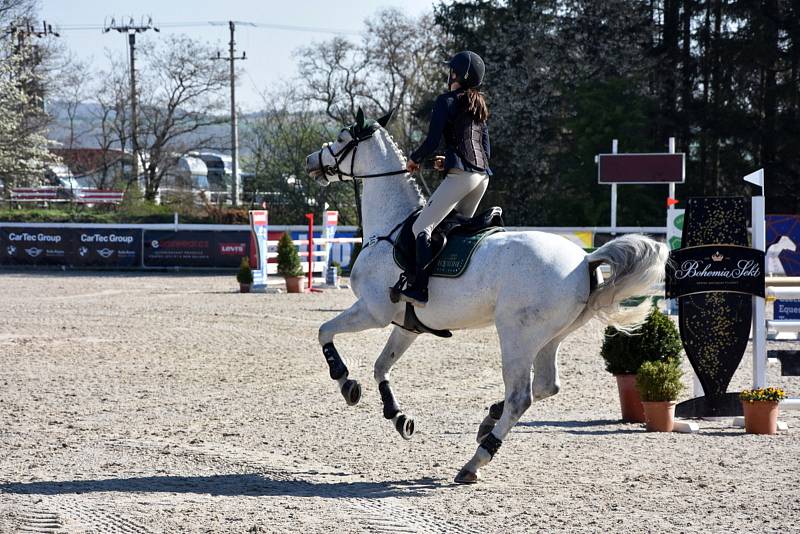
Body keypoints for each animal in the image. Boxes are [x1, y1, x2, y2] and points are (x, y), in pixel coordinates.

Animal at [304, 109, 664, 486]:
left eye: (342, 139)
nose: (312, 161)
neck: (391, 229)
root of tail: (584, 260)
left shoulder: (372, 312)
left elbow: (325, 332)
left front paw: (345, 381)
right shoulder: (407, 325)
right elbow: (380, 366)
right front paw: (398, 416)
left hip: (516, 335)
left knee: (521, 395)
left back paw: (475, 460)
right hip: (550, 337)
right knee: (546, 386)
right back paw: (488, 419)